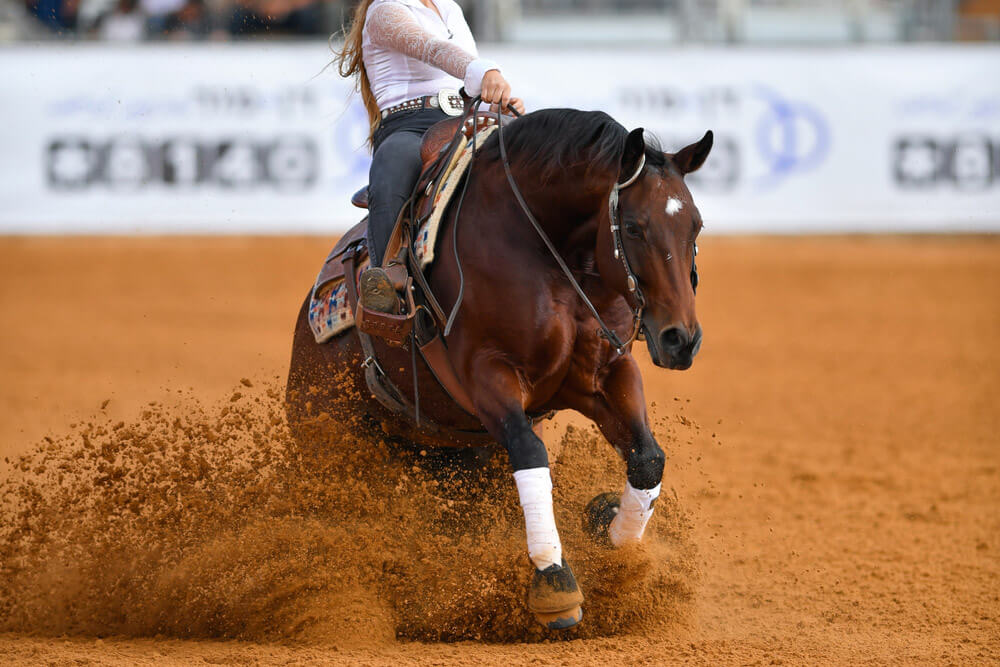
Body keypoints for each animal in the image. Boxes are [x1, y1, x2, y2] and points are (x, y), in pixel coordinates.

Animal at [286, 109, 716, 632]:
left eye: (696, 225)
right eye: (633, 228)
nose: (681, 339)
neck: (545, 249)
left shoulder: (606, 372)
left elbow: (648, 457)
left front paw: (612, 540)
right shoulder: (487, 376)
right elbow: (531, 454)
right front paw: (555, 582)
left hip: (463, 456)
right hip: (331, 445)